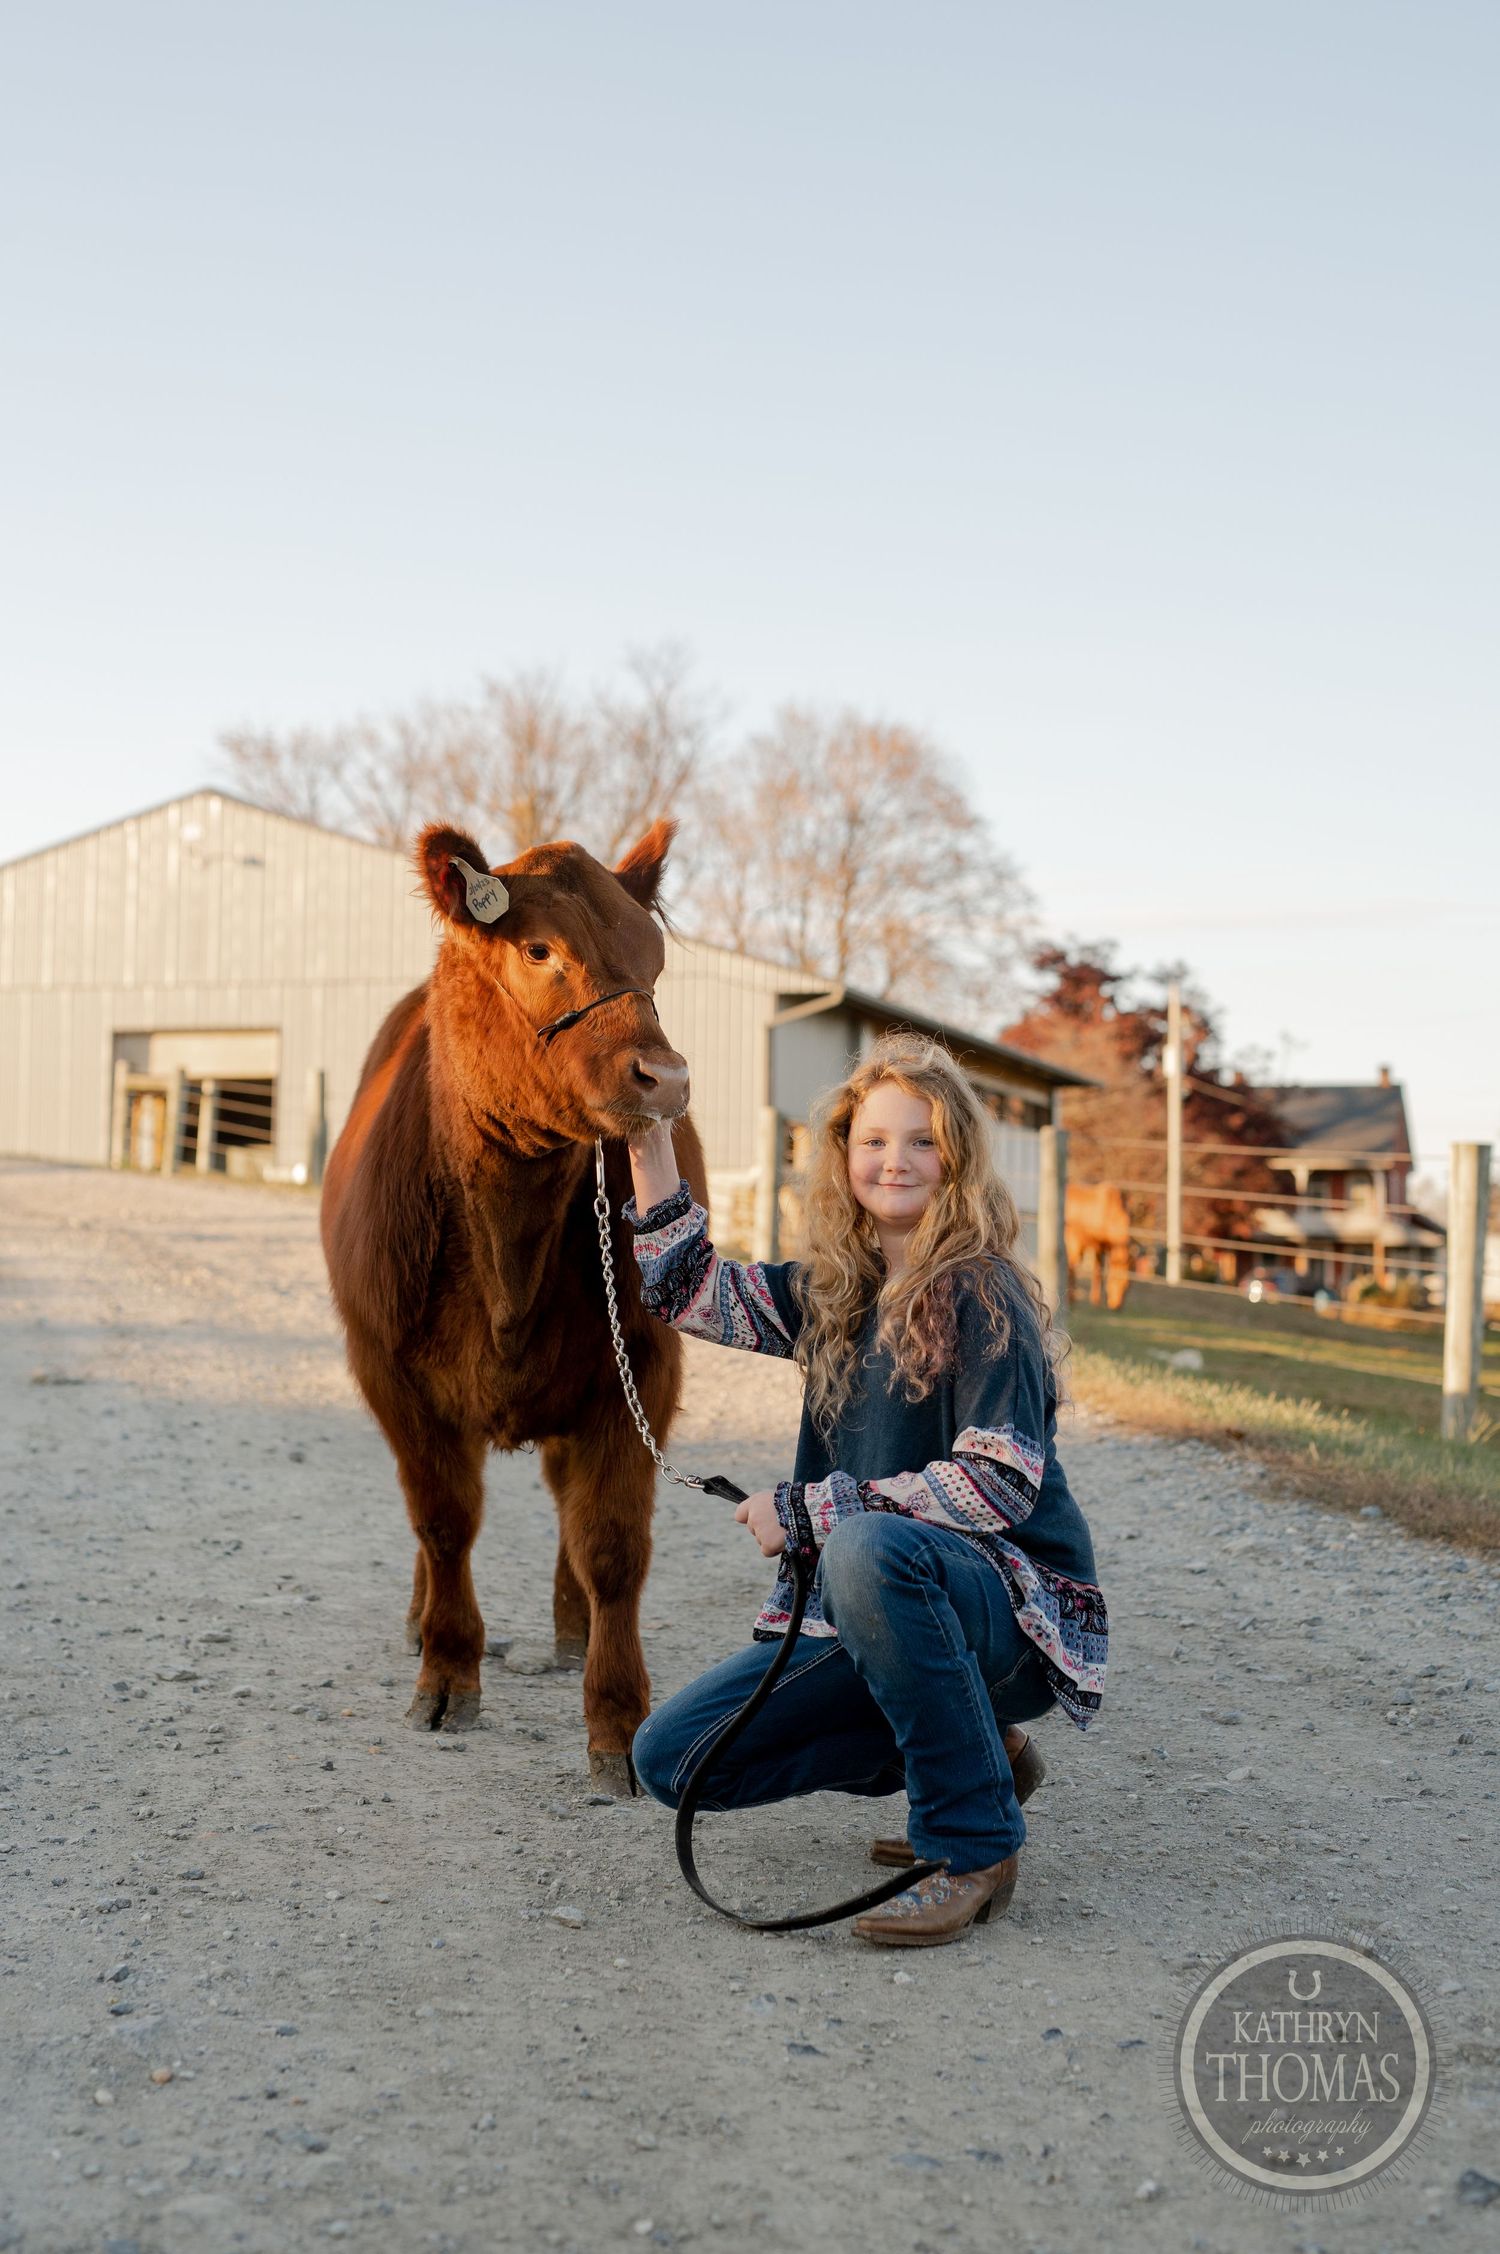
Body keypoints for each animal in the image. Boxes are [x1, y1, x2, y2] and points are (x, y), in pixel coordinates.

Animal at [320, 817, 703, 1792]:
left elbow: (611, 1543)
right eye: (539, 950)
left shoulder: (642, 1367)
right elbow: (443, 1521)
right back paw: (421, 1621)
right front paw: (446, 1672)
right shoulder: (387, 1368)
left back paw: (571, 1632)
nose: (667, 1078)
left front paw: (617, 1719)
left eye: (653, 961)